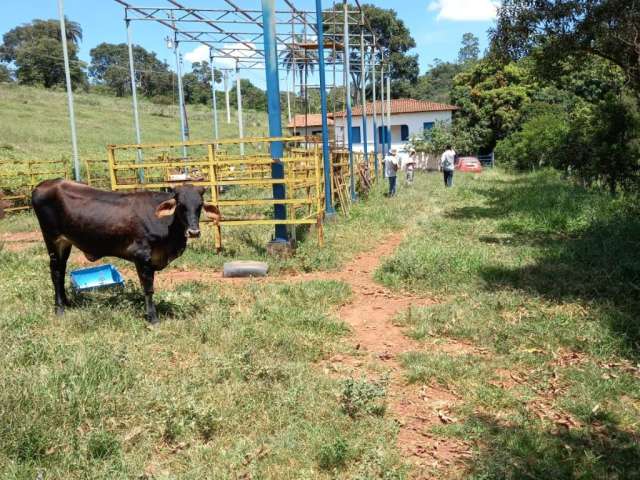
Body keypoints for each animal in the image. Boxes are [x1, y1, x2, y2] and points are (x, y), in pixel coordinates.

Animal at [31, 179, 218, 322]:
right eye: (180, 205)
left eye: (200, 205)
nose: (194, 232)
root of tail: (44, 184)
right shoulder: (142, 255)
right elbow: (148, 288)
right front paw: (153, 318)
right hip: (52, 239)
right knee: (56, 272)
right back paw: (59, 309)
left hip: (65, 242)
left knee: (62, 270)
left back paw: (67, 303)